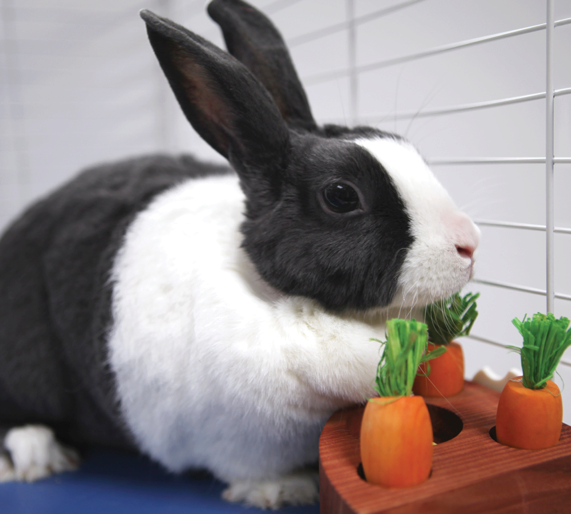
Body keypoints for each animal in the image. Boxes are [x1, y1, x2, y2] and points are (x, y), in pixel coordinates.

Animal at [0, 0, 482, 506]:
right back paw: (37, 455)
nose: (469, 243)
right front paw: (285, 491)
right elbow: (253, 470)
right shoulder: (235, 440)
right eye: (341, 196)